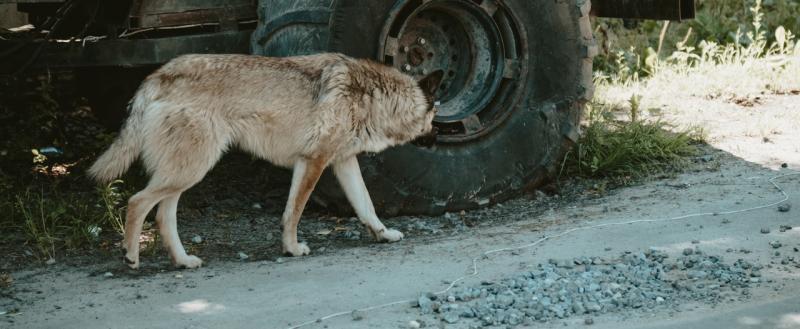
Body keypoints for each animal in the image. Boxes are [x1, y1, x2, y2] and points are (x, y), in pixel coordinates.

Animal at [90, 53, 446, 270]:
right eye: (436, 114)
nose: (439, 139)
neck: (375, 96)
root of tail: (159, 75)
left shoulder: (341, 163)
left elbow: (367, 206)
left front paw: (383, 235)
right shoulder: (313, 162)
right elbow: (294, 213)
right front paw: (292, 249)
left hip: (184, 174)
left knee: (163, 217)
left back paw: (184, 261)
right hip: (189, 171)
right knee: (136, 202)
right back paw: (131, 257)